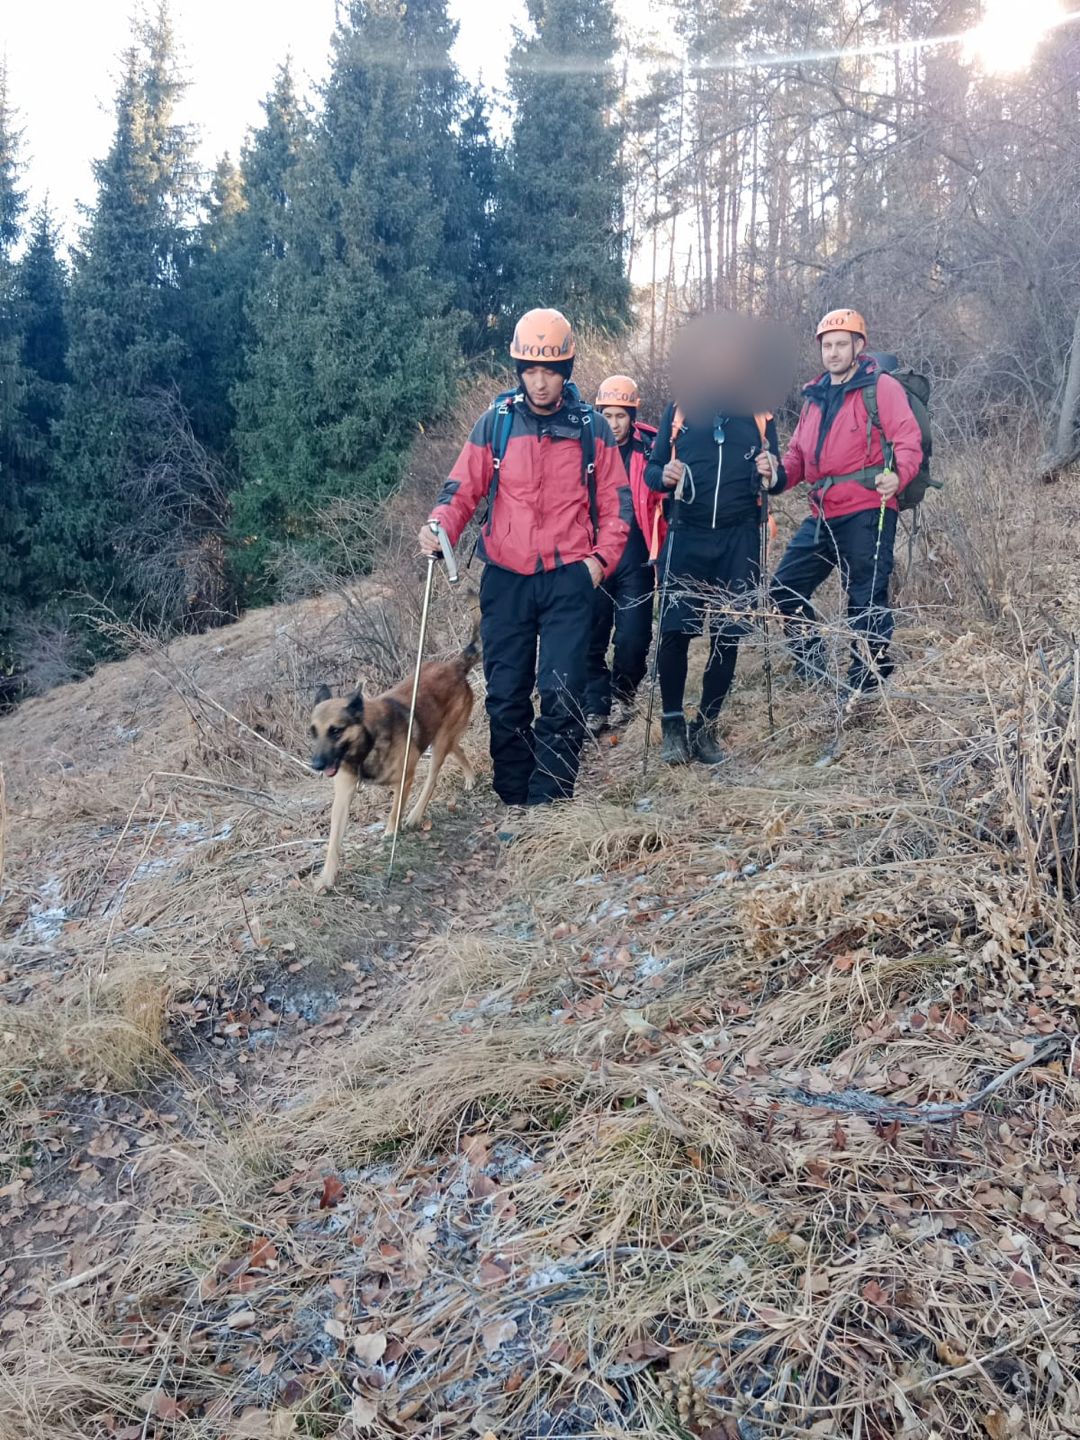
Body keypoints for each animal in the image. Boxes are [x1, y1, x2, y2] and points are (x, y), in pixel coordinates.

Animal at [308, 627, 478, 892]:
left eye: (336, 730)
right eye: (313, 732)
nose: (316, 765)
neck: (367, 742)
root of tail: (454, 665)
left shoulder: (404, 778)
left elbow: (394, 810)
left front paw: (390, 835)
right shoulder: (343, 796)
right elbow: (333, 841)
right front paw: (326, 877)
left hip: (440, 743)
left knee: (432, 779)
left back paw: (415, 815)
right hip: (441, 737)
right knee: (457, 749)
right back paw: (470, 778)